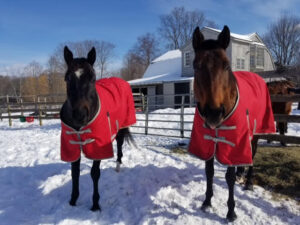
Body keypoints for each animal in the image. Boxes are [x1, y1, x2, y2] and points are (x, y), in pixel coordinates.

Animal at [60, 45, 135, 211]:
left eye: (92, 78)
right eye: (67, 78)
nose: (80, 114)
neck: (80, 126)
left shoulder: (98, 146)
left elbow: (95, 173)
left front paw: (95, 204)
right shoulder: (72, 146)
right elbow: (74, 173)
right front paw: (72, 201)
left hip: (121, 128)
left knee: (119, 146)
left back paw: (118, 166)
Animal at [189, 25, 276, 221]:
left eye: (226, 65)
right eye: (196, 66)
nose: (214, 114)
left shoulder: (232, 143)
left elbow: (228, 178)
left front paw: (231, 211)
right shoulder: (207, 142)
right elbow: (209, 172)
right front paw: (207, 202)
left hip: (255, 133)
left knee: (253, 155)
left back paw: (248, 182)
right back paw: (240, 172)